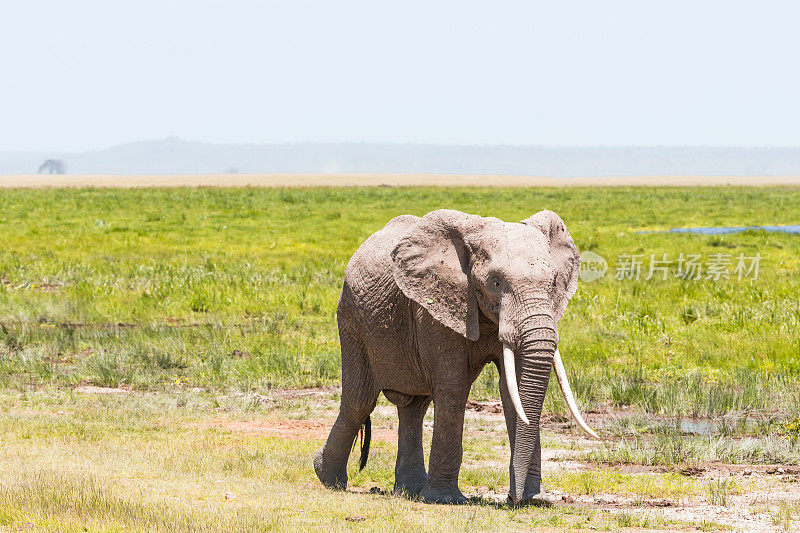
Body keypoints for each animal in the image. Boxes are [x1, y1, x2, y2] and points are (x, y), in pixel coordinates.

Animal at [316, 207, 596, 502]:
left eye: (553, 283)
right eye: (496, 282)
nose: (514, 499)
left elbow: (513, 387)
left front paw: (536, 499)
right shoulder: (434, 308)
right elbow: (454, 385)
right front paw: (444, 500)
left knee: (414, 407)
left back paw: (409, 490)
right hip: (351, 318)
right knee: (359, 401)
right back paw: (329, 480)